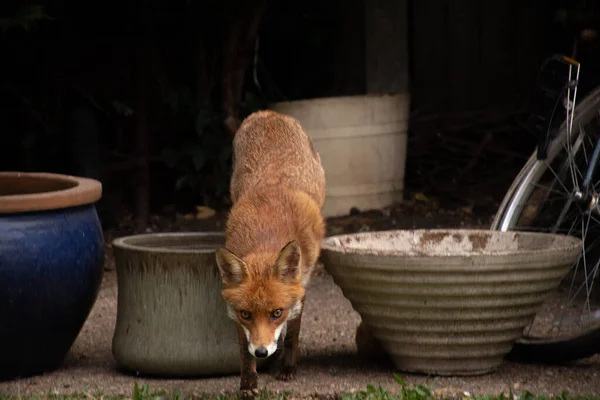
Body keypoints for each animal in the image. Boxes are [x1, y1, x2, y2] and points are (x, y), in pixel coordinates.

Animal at [216, 108, 326, 396]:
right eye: (246, 314)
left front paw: (287, 366)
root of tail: (268, 112)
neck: (267, 237)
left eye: (276, 312)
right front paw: (248, 382)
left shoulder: (302, 283)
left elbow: (294, 330)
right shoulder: (237, 311)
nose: (262, 352)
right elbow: (243, 350)